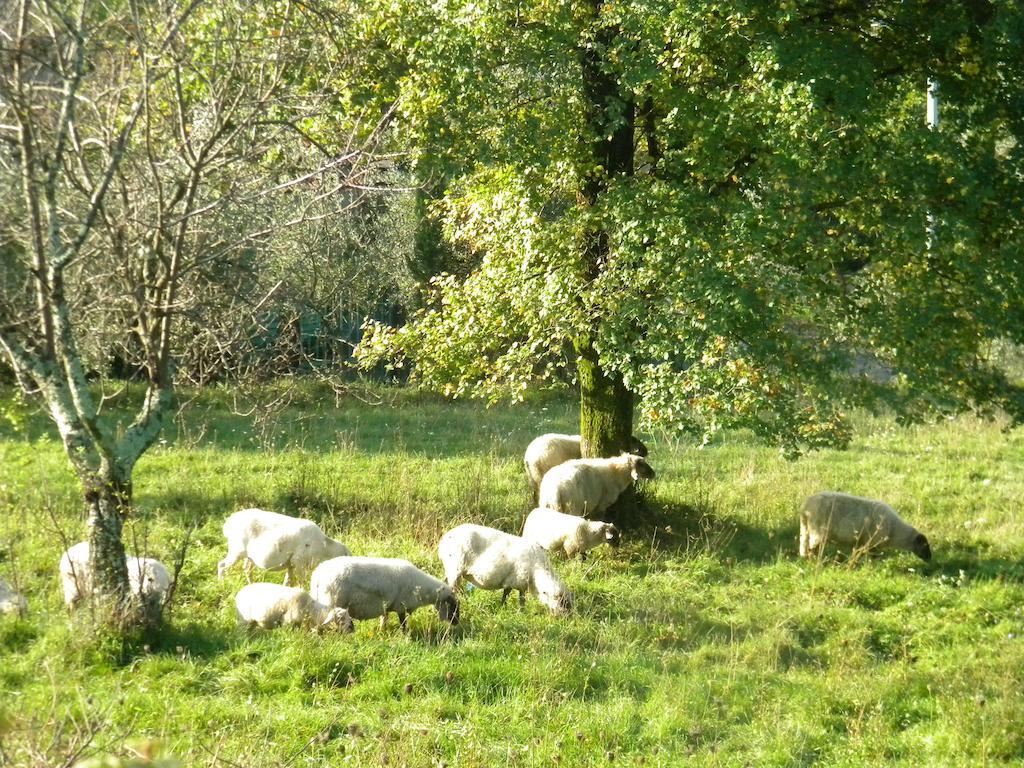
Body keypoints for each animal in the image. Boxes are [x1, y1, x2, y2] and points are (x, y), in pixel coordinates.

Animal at [217, 507, 352, 585]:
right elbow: (301, 582)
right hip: (237, 550)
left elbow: (288, 581)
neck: (325, 548)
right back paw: (221, 584)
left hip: (249, 556)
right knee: (222, 565)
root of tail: (230, 522)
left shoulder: (291, 564)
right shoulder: (299, 562)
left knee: (247, 569)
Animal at [307, 561, 460, 630]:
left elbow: (384, 618)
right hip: (331, 603)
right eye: (454, 607)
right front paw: (406, 636)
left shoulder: (386, 606)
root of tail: (316, 577)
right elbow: (403, 624)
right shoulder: (400, 607)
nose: (457, 623)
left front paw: (382, 630)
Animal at [436, 528, 573, 618]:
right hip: (455, 568)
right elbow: (520, 599)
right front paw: (521, 613)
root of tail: (443, 541)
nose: (566, 617)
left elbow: (507, 595)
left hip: (450, 570)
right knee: (455, 589)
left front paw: (503, 608)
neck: (537, 570)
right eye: (561, 601)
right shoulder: (518, 581)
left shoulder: (513, 582)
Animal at [798, 493, 937, 565]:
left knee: (805, 547)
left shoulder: (863, 542)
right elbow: (873, 556)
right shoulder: (872, 542)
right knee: (812, 549)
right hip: (818, 532)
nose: (930, 558)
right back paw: (816, 562)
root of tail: (806, 507)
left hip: (805, 529)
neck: (895, 531)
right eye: (925, 545)